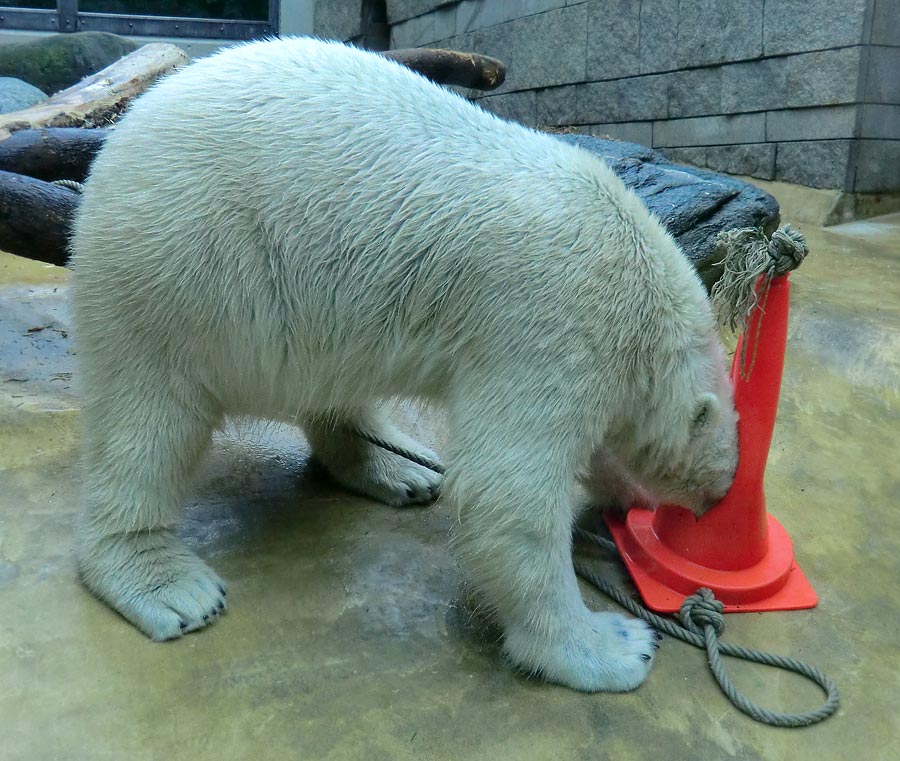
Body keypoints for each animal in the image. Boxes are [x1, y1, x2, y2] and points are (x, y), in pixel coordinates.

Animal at [72, 40, 740, 696]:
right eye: (729, 449)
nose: (718, 497)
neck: (640, 278)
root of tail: (119, 139)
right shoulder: (550, 318)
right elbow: (508, 491)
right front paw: (613, 646)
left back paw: (398, 469)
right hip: (175, 262)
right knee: (147, 420)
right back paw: (167, 584)